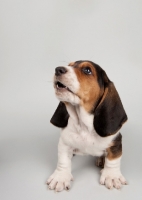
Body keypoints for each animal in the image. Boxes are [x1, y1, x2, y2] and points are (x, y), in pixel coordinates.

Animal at [46, 60, 127, 191]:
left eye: (87, 70)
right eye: (69, 65)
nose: (58, 69)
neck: (84, 125)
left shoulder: (116, 141)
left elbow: (113, 159)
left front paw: (112, 176)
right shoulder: (64, 142)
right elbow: (63, 160)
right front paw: (60, 177)